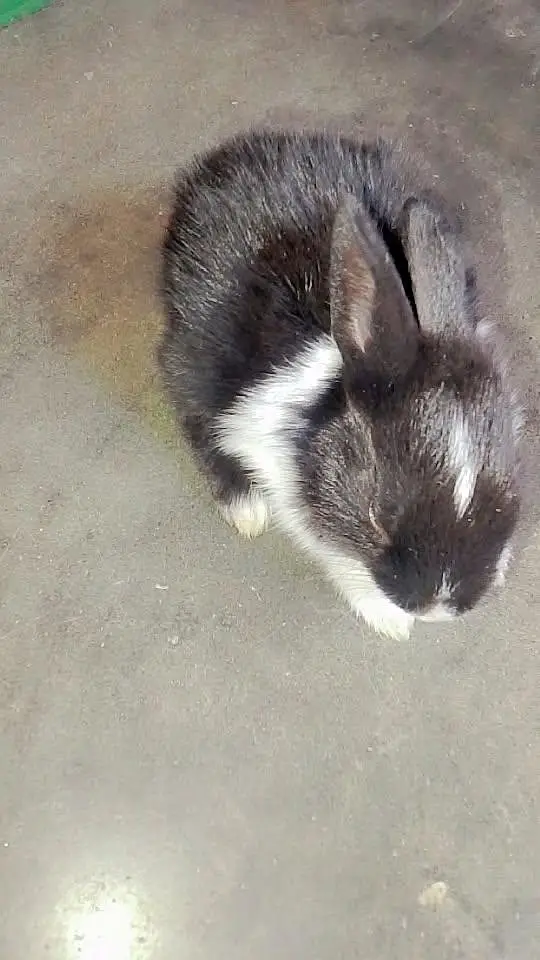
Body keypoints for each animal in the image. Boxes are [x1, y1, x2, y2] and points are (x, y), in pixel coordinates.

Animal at [158, 130, 522, 639]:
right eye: (379, 516)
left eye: (506, 493)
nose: (436, 606)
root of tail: (215, 165)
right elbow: (331, 549)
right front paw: (389, 620)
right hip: (192, 351)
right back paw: (244, 508)